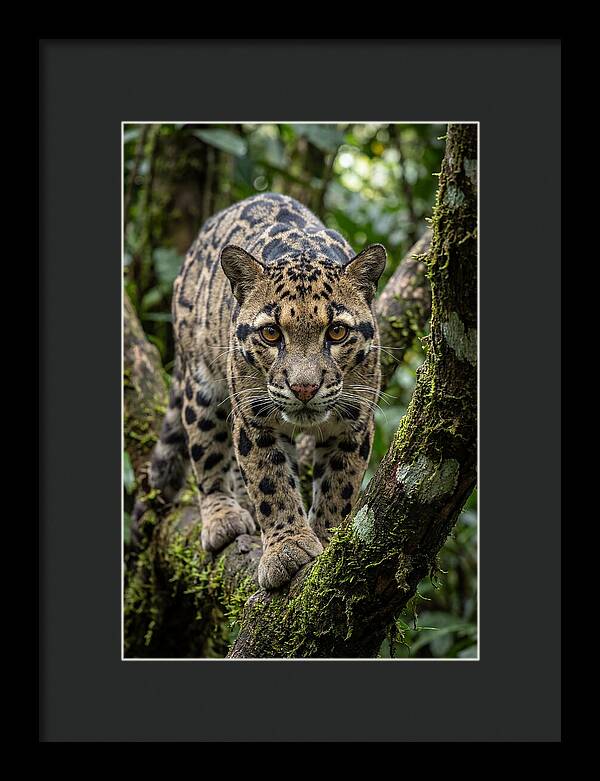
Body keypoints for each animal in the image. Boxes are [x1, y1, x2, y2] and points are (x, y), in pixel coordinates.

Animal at [149, 192, 386, 590]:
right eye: (271, 333)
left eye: (337, 332)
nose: (304, 387)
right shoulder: (254, 417)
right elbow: (270, 482)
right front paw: (287, 549)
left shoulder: (354, 421)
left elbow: (339, 485)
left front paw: (326, 539)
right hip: (201, 384)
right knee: (206, 451)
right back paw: (223, 516)